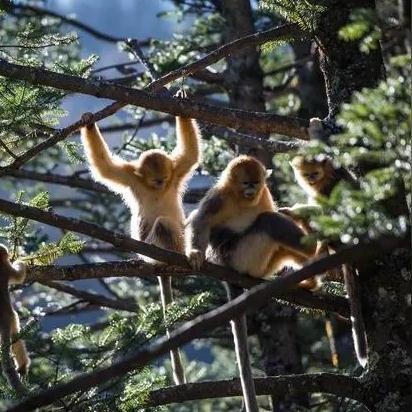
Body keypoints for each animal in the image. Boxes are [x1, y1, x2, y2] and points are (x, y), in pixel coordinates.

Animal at [187, 155, 318, 412]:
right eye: (246, 183)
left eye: (256, 183)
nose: (252, 191)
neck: (241, 199)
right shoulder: (218, 197)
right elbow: (201, 220)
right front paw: (196, 253)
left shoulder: (264, 194)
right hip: (244, 256)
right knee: (268, 221)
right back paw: (315, 247)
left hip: (264, 263)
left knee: (274, 227)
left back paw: (311, 273)